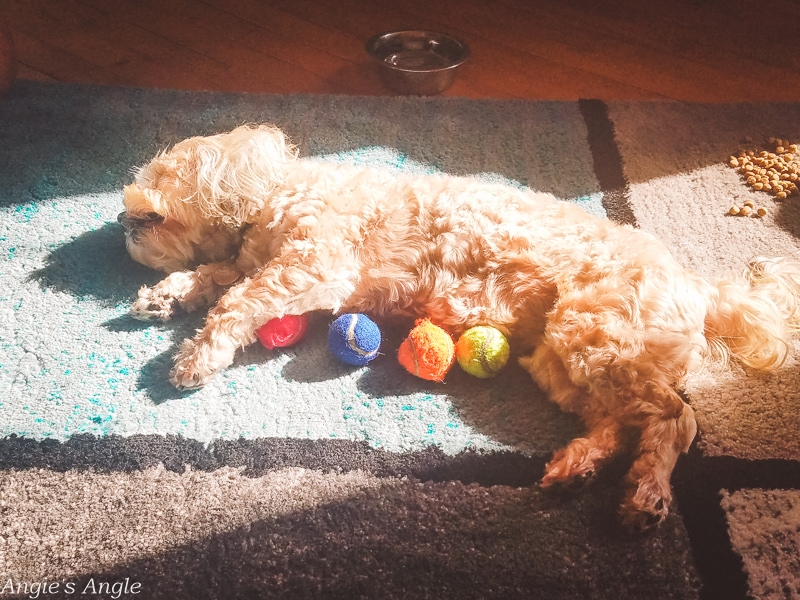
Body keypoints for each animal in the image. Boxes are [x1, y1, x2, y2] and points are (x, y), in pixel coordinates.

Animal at [119, 124, 800, 532]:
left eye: (150, 204)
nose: (122, 222)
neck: (278, 191)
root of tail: (699, 288)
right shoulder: (269, 267)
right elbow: (216, 276)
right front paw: (167, 296)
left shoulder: (310, 267)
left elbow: (235, 299)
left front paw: (197, 355)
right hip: (564, 355)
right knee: (615, 420)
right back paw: (576, 468)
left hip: (597, 335)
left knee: (674, 418)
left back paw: (645, 496)